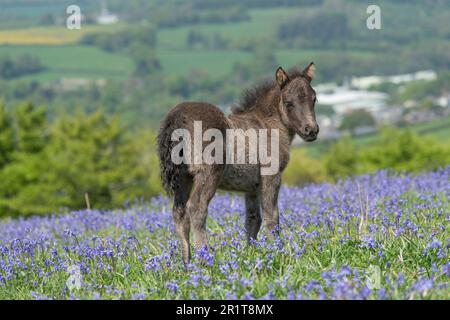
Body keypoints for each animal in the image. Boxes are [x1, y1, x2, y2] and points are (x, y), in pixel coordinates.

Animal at [158, 63, 320, 264]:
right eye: (289, 103)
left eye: (314, 99)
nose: (311, 130)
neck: (269, 124)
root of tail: (176, 118)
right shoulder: (271, 175)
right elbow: (272, 216)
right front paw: (278, 252)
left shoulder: (251, 187)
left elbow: (253, 219)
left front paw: (251, 254)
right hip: (208, 173)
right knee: (197, 208)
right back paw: (205, 258)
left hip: (184, 177)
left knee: (179, 212)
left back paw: (187, 263)